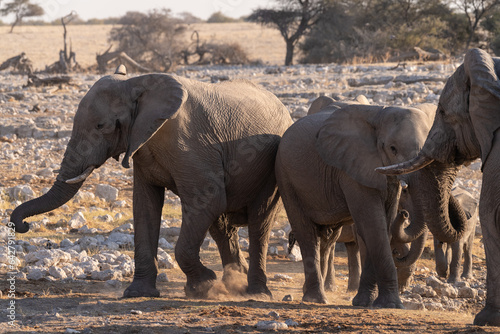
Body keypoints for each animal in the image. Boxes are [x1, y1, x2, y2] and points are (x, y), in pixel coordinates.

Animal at [9, 64, 292, 298]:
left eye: (101, 126)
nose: (22, 225)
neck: (138, 83)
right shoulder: (142, 146)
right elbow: (145, 206)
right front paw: (137, 293)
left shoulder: (192, 147)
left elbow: (209, 198)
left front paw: (204, 286)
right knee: (221, 226)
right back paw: (235, 284)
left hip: (272, 167)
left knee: (259, 222)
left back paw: (255, 293)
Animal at [276, 100, 440, 306]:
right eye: (392, 148)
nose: (405, 214)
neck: (379, 114)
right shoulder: (351, 169)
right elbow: (372, 225)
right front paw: (391, 304)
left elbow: (382, 226)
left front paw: (365, 302)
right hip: (286, 177)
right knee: (306, 232)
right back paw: (316, 299)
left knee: (327, 239)